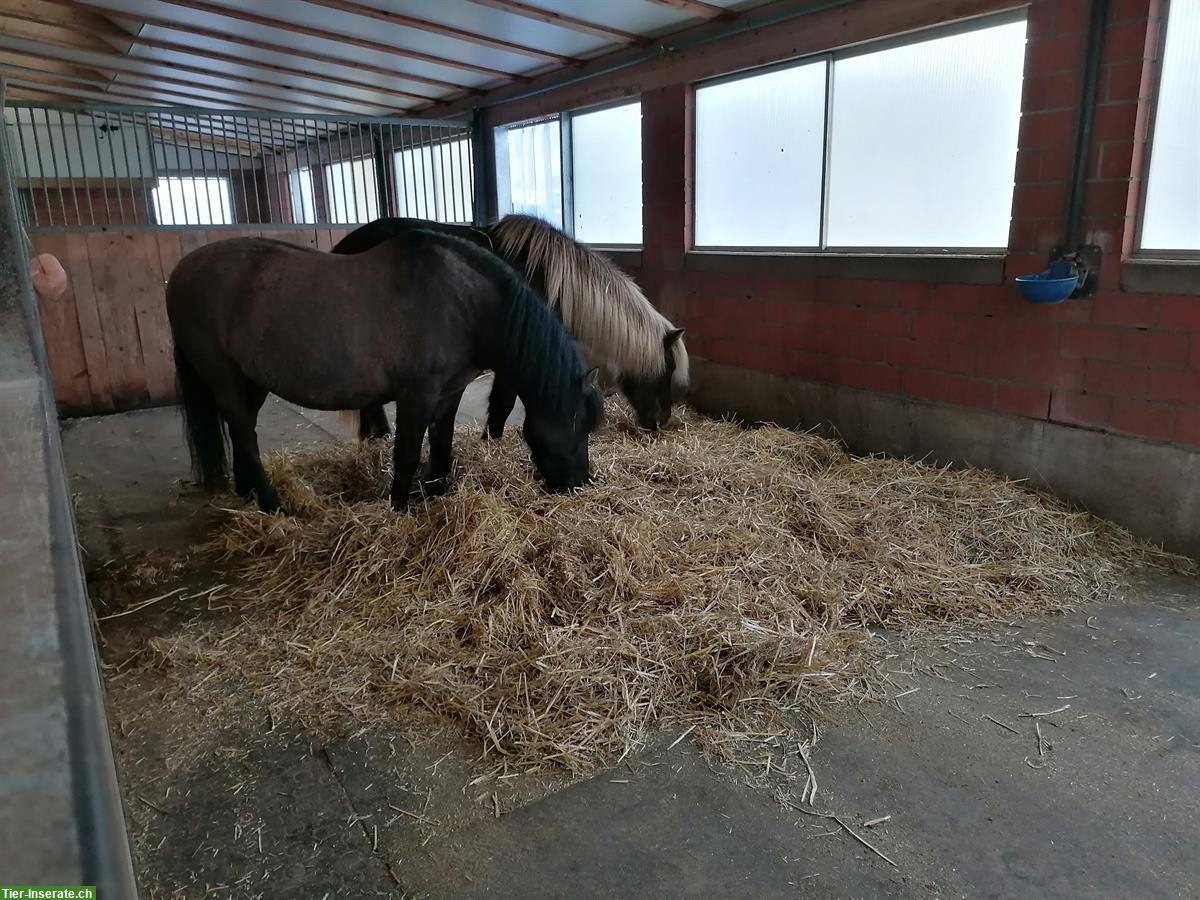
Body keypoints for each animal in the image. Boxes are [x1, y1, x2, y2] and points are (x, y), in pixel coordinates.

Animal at [166, 230, 600, 513]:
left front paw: (435, 494)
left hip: (250, 380)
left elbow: (441, 443)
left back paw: (247, 491)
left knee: (242, 429)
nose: (578, 485)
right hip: (222, 375)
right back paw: (273, 505)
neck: (463, 304)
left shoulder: (449, 391)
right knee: (242, 431)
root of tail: (181, 271)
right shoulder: (416, 395)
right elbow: (407, 451)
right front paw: (400, 508)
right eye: (577, 425)